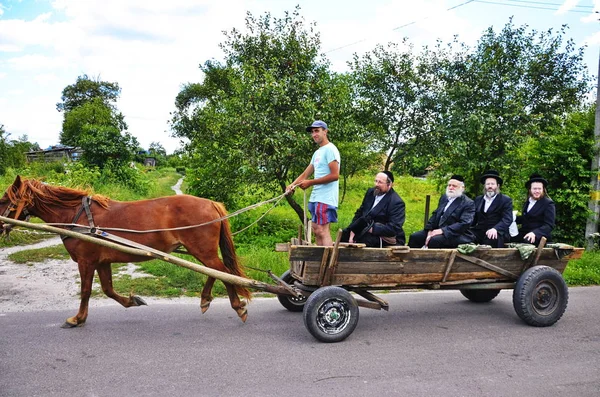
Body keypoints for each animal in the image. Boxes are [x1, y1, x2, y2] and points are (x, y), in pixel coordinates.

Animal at [0, 175, 252, 326]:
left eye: (4, 199)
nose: (1, 224)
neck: (78, 217)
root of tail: (211, 203)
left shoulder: (86, 261)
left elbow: (85, 291)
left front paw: (78, 318)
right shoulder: (102, 261)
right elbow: (108, 290)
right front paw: (132, 301)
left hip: (203, 251)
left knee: (223, 272)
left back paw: (236, 306)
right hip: (201, 251)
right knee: (216, 272)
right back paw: (206, 299)